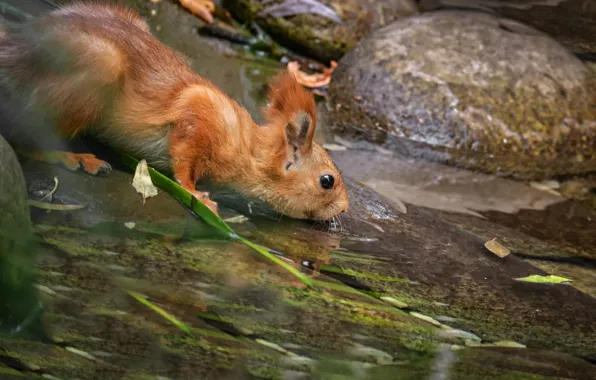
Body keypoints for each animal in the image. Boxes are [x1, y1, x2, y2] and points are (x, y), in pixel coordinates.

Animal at [0, 2, 350, 221]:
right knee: (23, 135)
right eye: (327, 181)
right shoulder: (199, 115)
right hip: (96, 69)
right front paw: (196, 193)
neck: (247, 146)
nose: (345, 209)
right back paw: (73, 157)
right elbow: (184, 159)